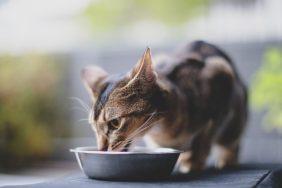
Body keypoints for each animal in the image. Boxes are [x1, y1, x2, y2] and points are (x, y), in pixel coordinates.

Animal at [81, 40, 247, 173]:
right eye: (94, 127)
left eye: (115, 123)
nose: (101, 149)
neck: (162, 130)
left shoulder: (222, 74)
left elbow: (203, 139)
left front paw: (194, 162)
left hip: (234, 119)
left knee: (232, 140)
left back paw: (227, 159)